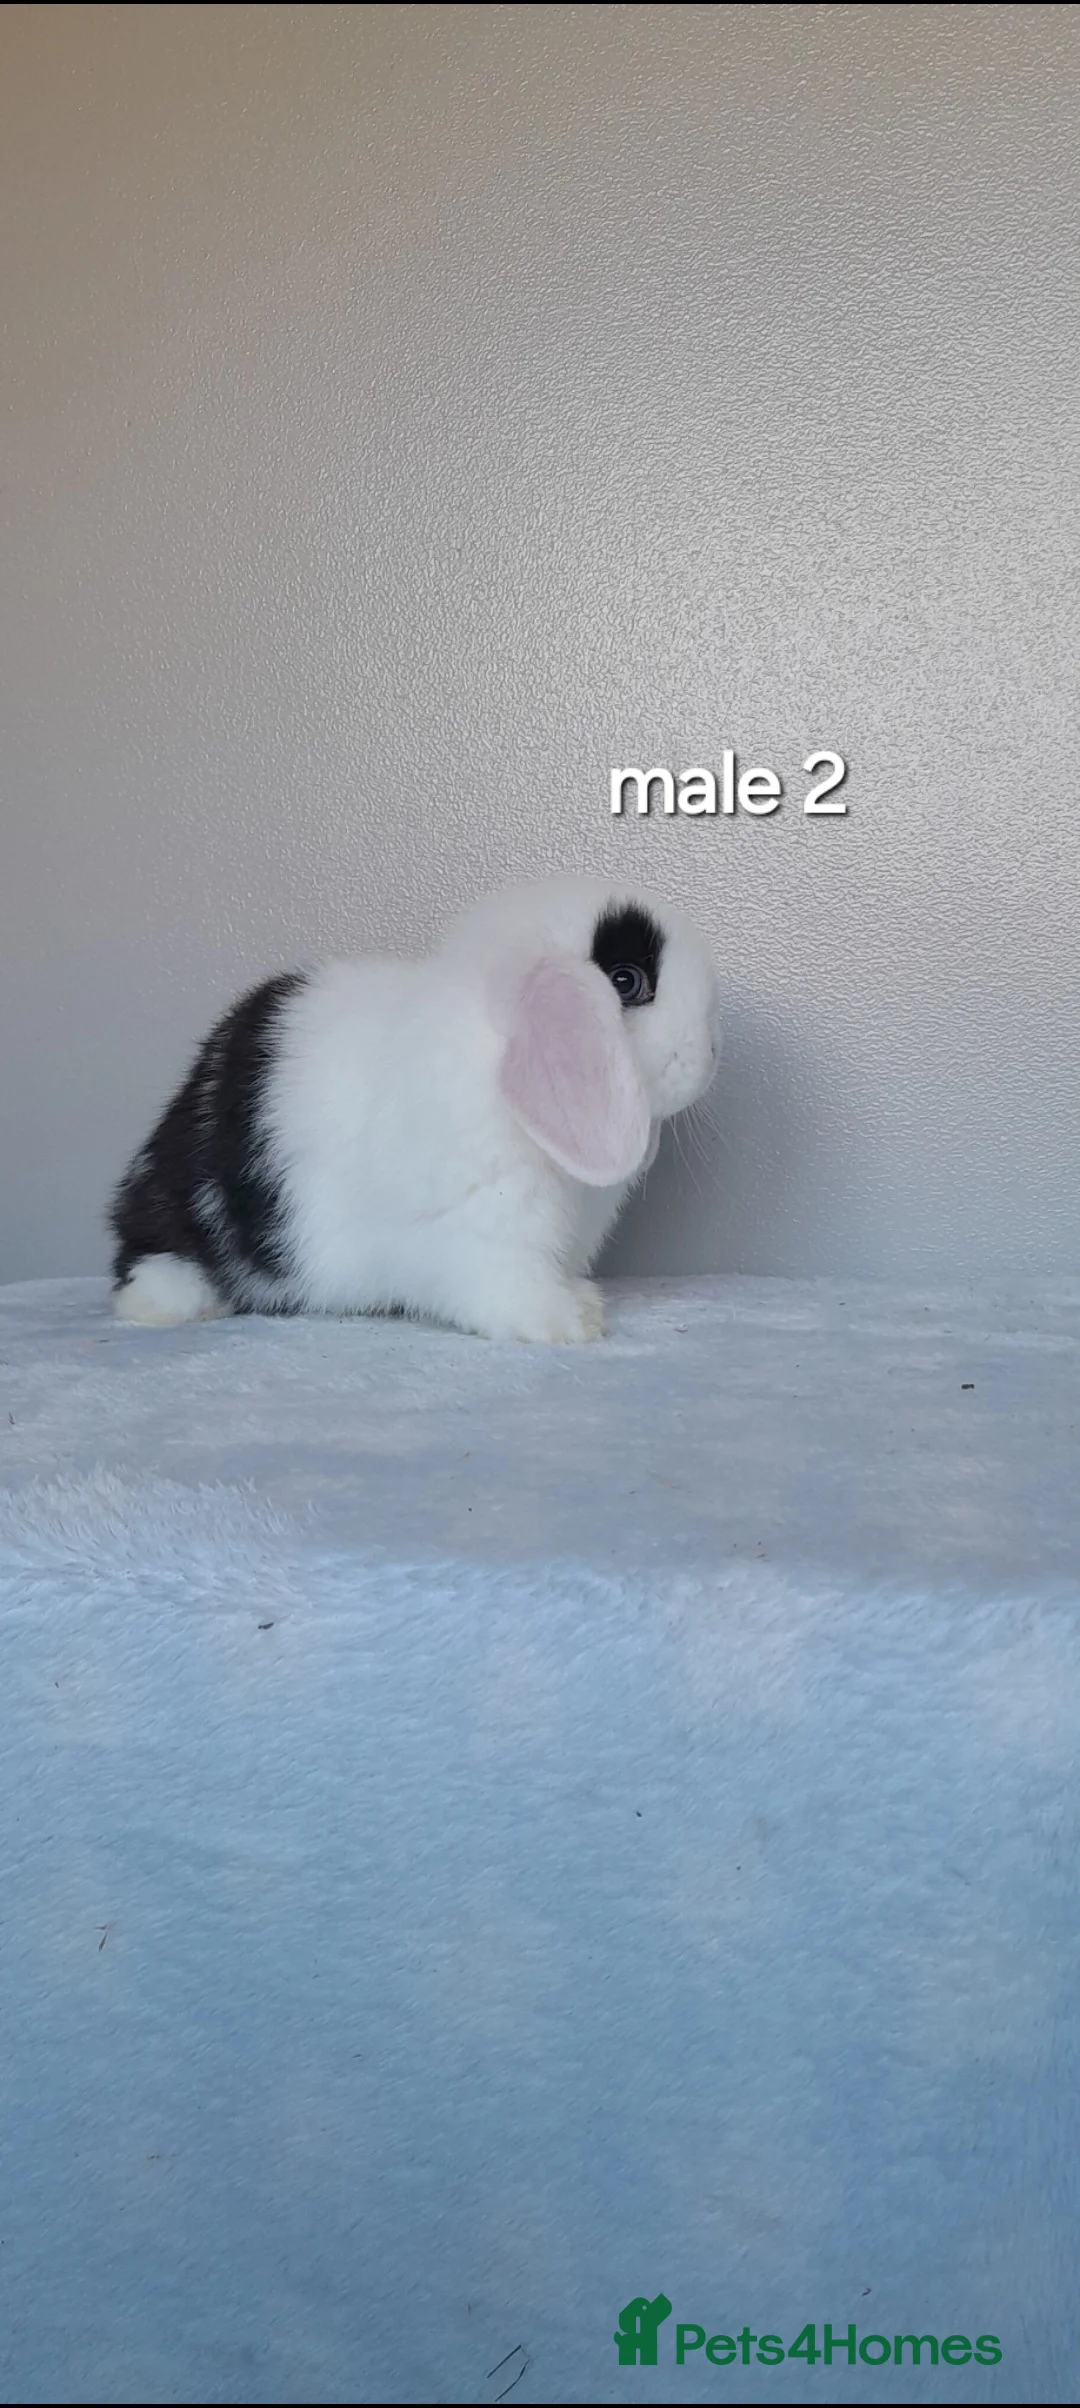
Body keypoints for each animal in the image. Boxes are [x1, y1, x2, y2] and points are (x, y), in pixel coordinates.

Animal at [109, 873, 720, 1343]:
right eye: (627, 981)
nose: (713, 1055)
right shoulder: (484, 1234)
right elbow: (508, 1288)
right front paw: (569, 1322)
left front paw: (581, 1301)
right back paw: (167, 1306)